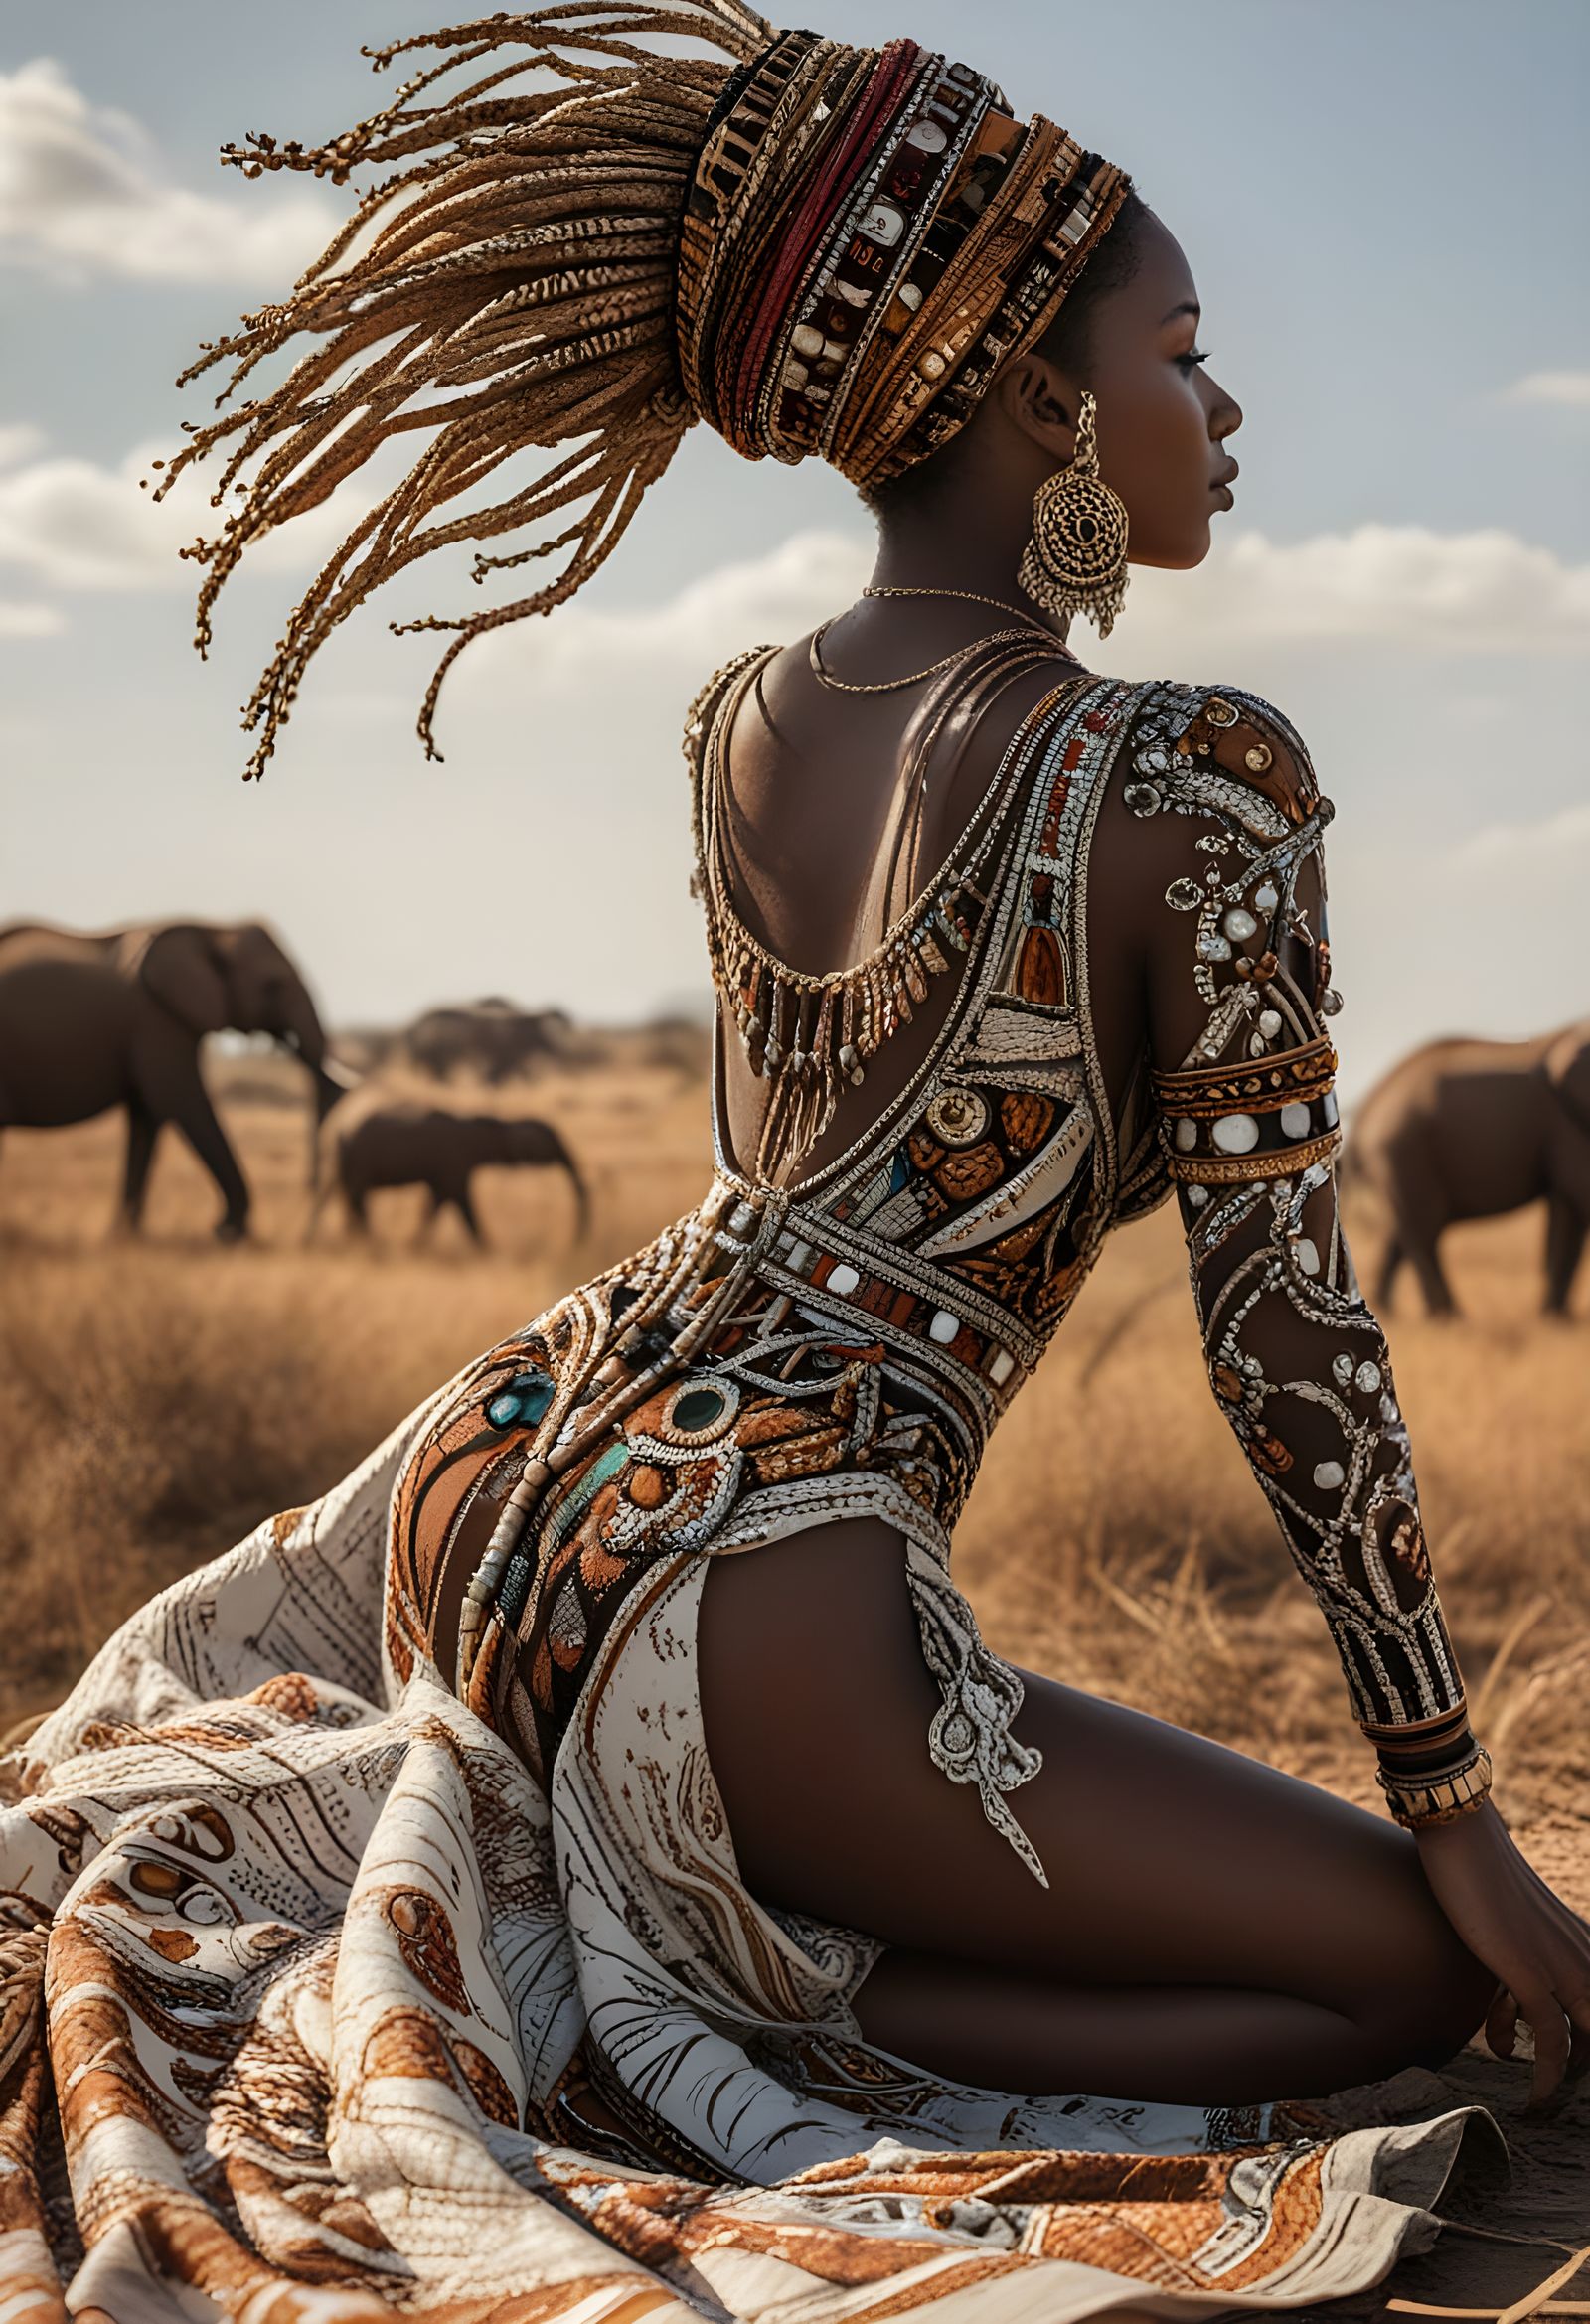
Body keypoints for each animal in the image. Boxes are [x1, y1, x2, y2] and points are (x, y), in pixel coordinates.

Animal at [0, 915, 344, 1245]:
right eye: (272, 985)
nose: (305, 1230)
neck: (213, 930)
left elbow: (147, 1118)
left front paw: (126, 1238)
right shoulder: (157, 1021)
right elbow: (183, 1103)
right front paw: (228, 1232)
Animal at [306, 1106, 585, 1255]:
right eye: (546, 1146)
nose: (572, 1244)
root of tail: (338, 1131)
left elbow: (438, 1203)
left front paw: (414, 1246)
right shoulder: (455, 1164)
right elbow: (461, 1203)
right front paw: (489, 1250)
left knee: (352, 1200)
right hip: (359, 1159)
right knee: (357, 1200)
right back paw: (372, 1244)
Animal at [1339, 1022, 1589, 1319]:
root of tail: (1367, 1108)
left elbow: (1566, 1209)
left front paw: (1558, 1319)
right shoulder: (1567, 1122)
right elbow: (1577, 1192)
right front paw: (1559, 1320)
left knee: (1405, 1232)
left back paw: (1389, 1312)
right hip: (1404, 1150)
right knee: (1424, 1231)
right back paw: (1448, 1317)